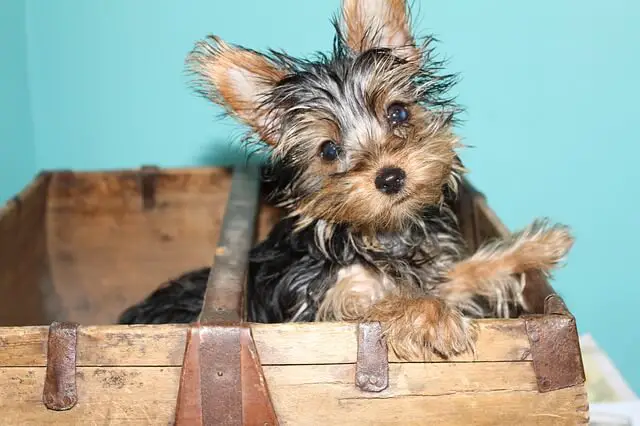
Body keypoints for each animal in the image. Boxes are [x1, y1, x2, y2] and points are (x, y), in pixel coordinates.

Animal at [117, 0, 572, 360]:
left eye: (398, 113)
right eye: (329, 151)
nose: (390, 177)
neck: (380, 235)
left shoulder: (432, 273)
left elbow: (462, 273)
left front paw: (535, 247)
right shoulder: (321, 304)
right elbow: (380, 303)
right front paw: (433, 316)